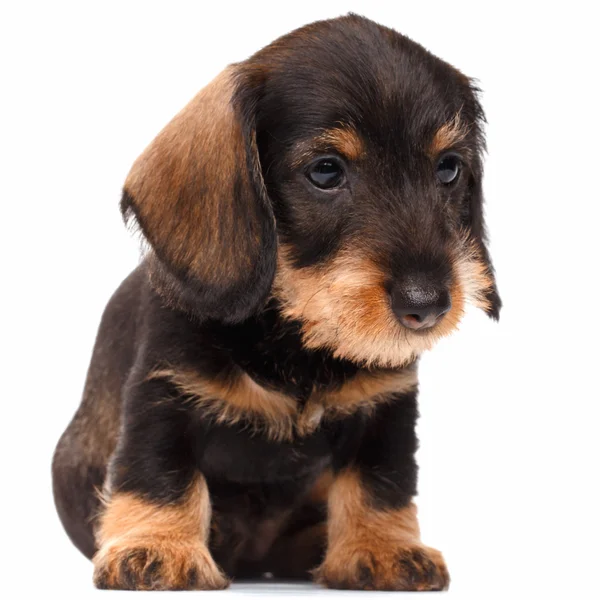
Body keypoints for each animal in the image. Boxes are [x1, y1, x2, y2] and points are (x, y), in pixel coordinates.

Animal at [52, 14, 502, 592]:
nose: (427, 305)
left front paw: (382, 547)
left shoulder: (387, 406)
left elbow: (381, 481)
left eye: (448, 168)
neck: (293, 335)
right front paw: (158, 546)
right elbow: (160, 474)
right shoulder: (163, 392)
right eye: (326, 171)